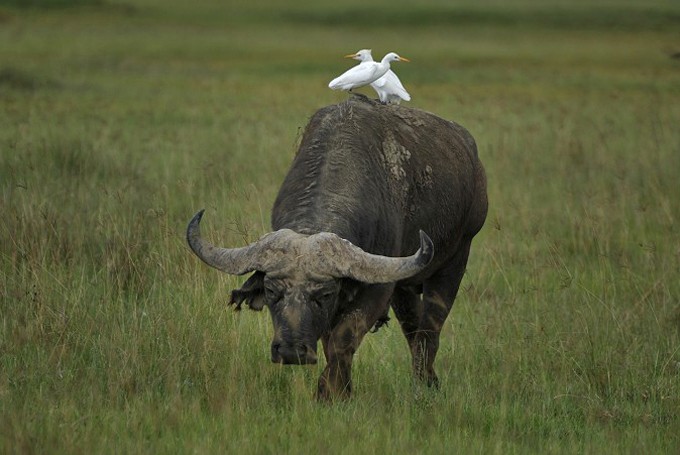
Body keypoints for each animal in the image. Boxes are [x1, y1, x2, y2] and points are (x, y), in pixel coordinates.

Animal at [189, 94, 486, 400]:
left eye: (325, 294)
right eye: (271, 291)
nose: (291, 351)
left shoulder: (377, 288)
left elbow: (343, 340)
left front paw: (328, 392)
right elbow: (330, 339)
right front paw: (342, 391)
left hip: (456, 258)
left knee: (430, 330)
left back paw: (425, 385)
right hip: (406, 285)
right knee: (413, 326)